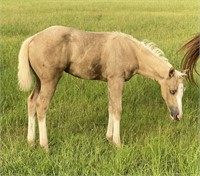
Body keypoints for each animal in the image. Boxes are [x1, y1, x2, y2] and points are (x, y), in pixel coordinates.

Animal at [18, 26, 187, 150]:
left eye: (182, 93)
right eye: (172, 91)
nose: (178, 116)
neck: (130, 51)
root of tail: (32, 39)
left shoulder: (111, 82)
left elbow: (111, 107)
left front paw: (109, 139)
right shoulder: (116, 80)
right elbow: (117, 109)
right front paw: (118, 143)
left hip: (39, 81)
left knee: (31, 102)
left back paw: (31, 142)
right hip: (50, 80)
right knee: (41, 106)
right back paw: (44, 145)